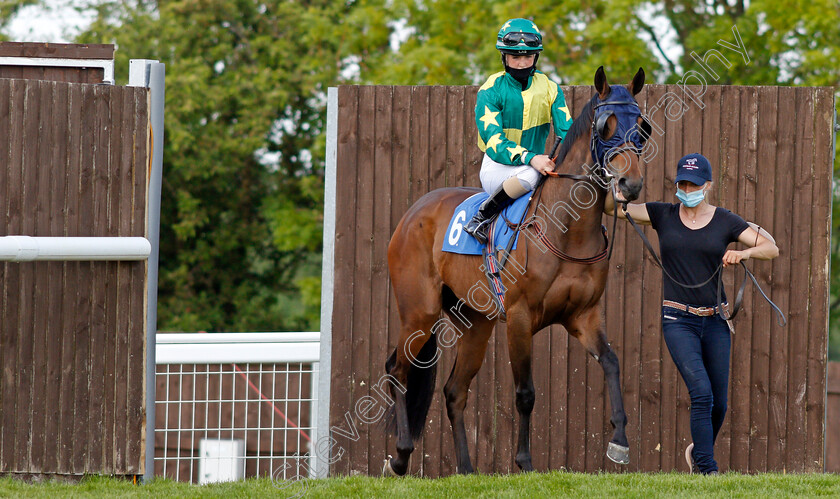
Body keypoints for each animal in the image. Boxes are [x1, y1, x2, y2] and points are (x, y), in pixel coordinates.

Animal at [384, 66, 648, 476]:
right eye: (606, 126)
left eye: (641, 127)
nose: (630, 184)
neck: (567, 230)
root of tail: (414, 212)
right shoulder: (521, 318)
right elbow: (525, 393)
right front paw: (524, 460)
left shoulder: (583, 316)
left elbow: (611, 363)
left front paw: (619, 441)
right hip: (419, 313)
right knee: (398, 372)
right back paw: (400, 454)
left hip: (475, 322)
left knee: (454, 392)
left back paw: (466, 469)